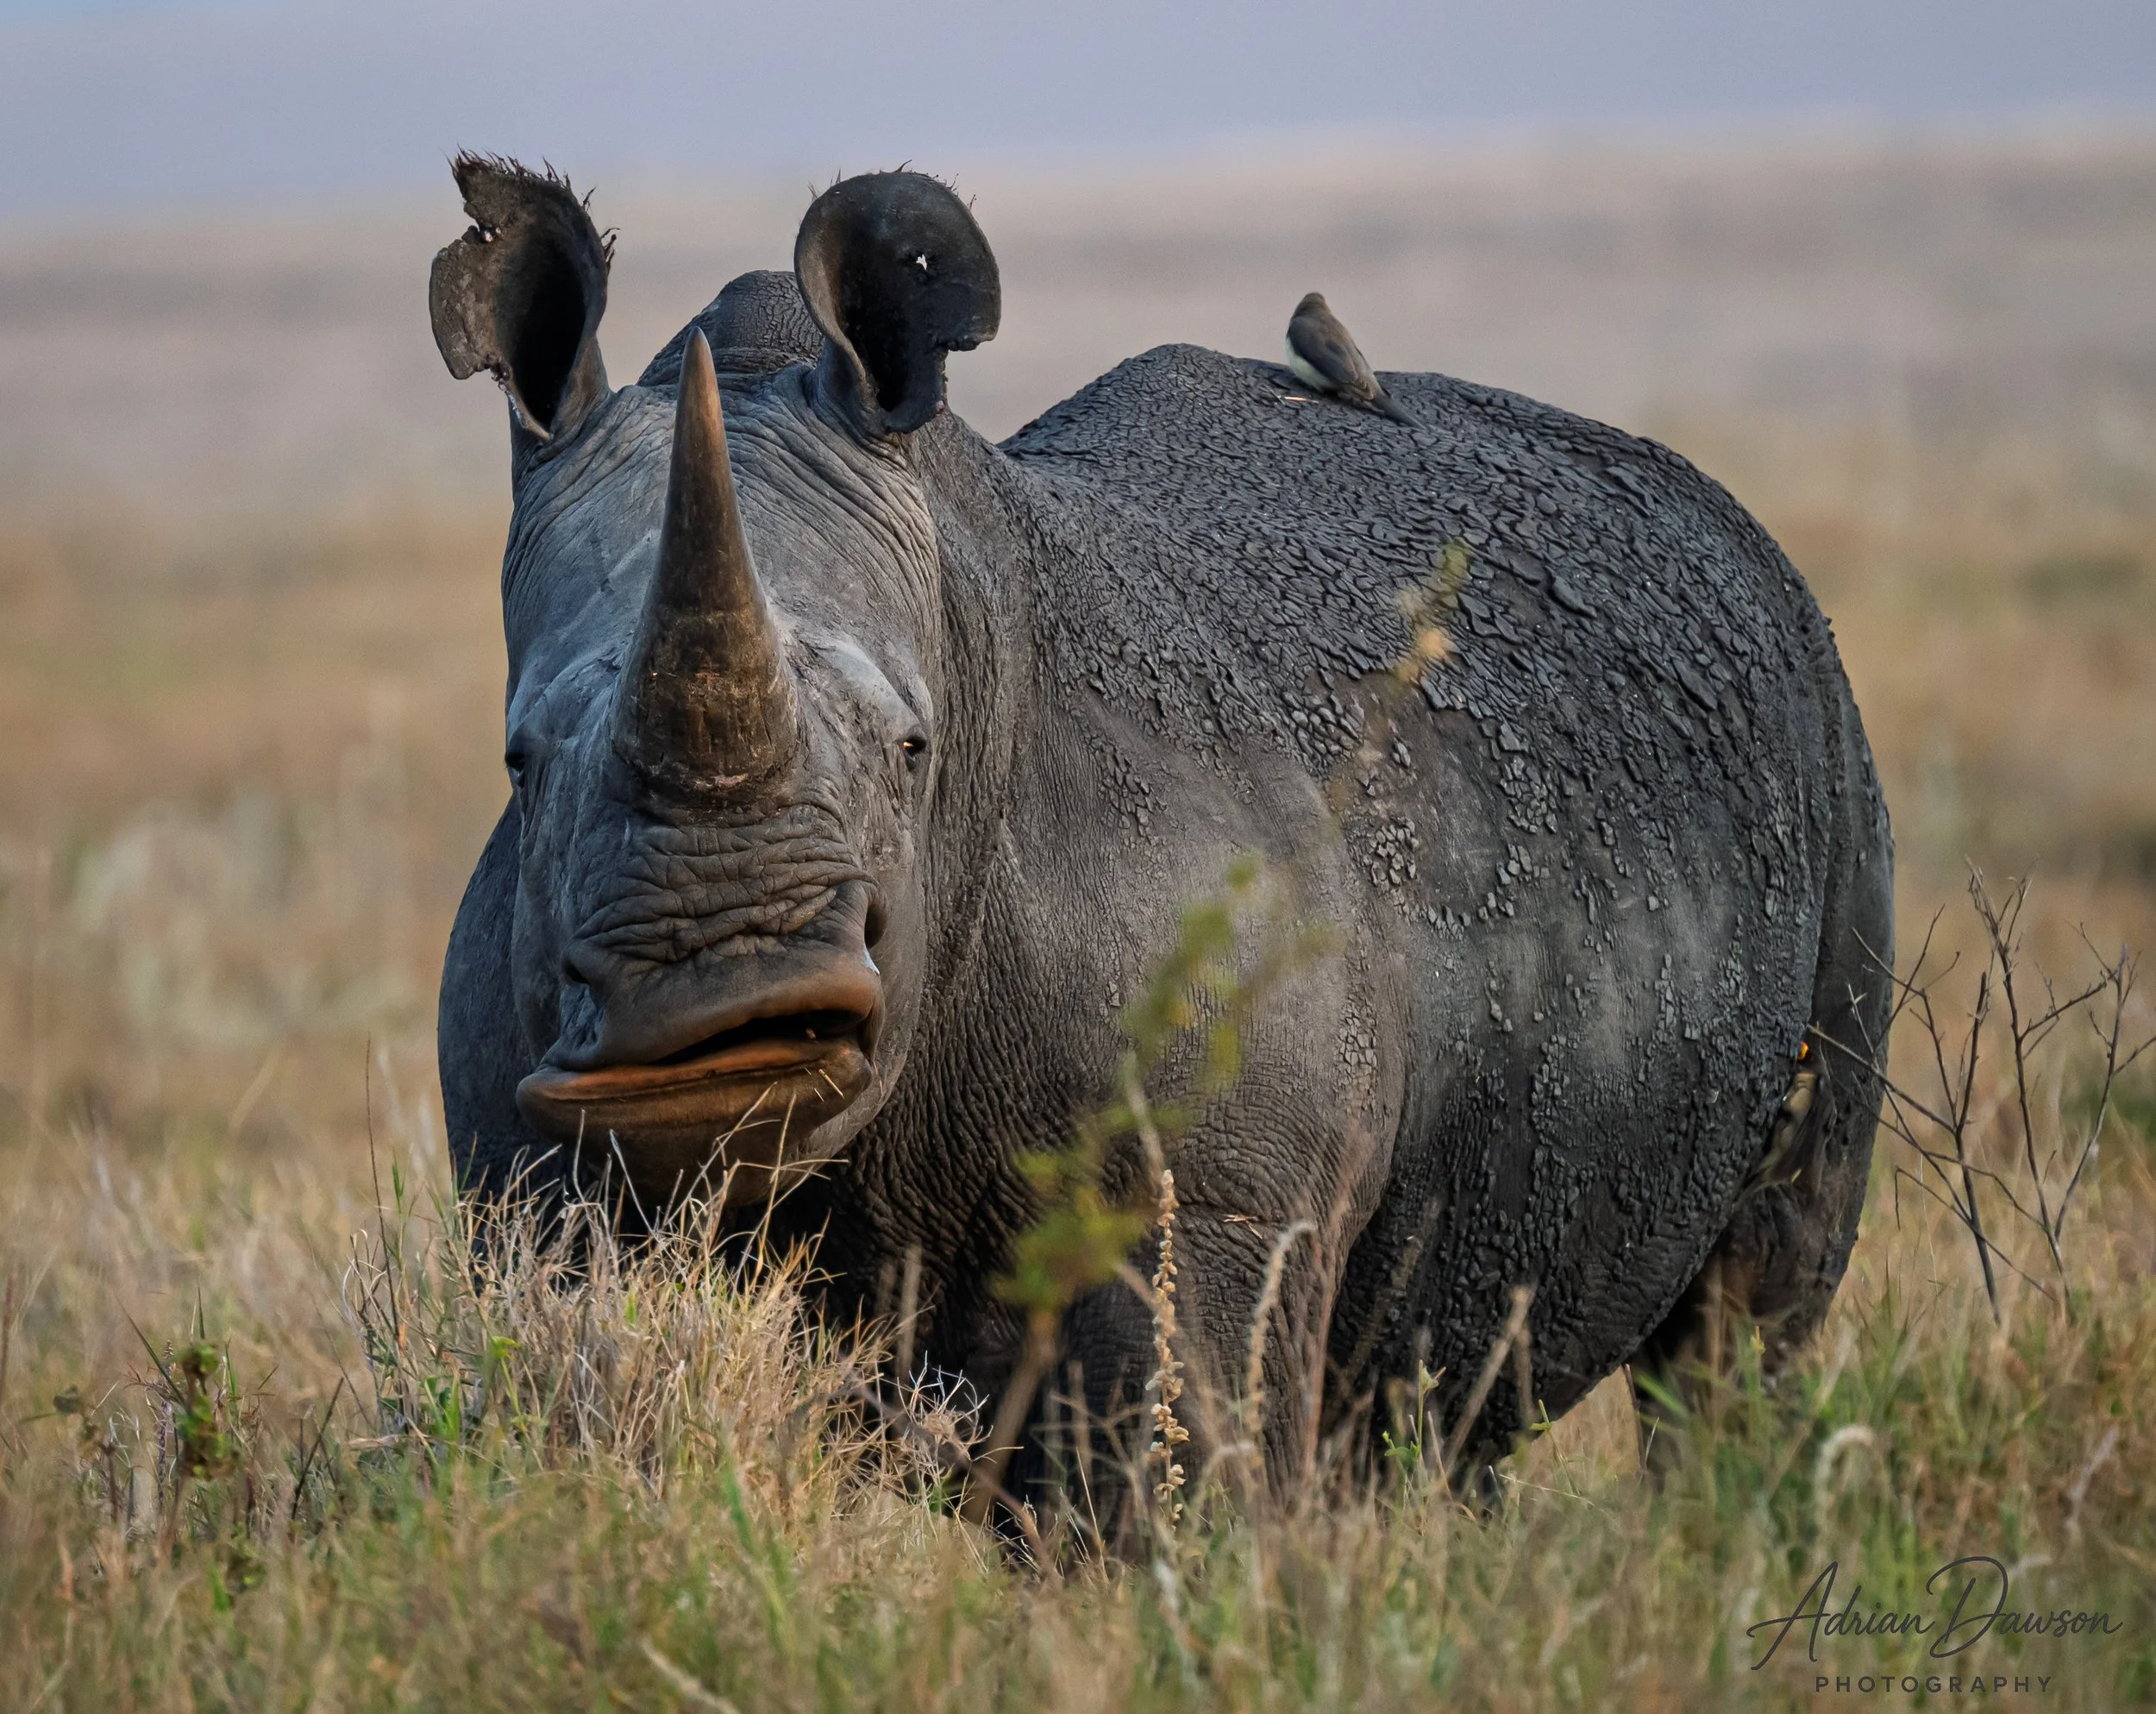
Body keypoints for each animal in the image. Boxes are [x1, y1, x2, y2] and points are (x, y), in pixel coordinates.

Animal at [430, 157, 1892, 1493]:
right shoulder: (532, 1187)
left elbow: (1166, 1486)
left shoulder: (1210, 1195)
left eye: (913, 752)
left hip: (1833, 741)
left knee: (1745, 1317)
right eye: (518, 762)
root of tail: (1739, 527)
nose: (722, 1007)